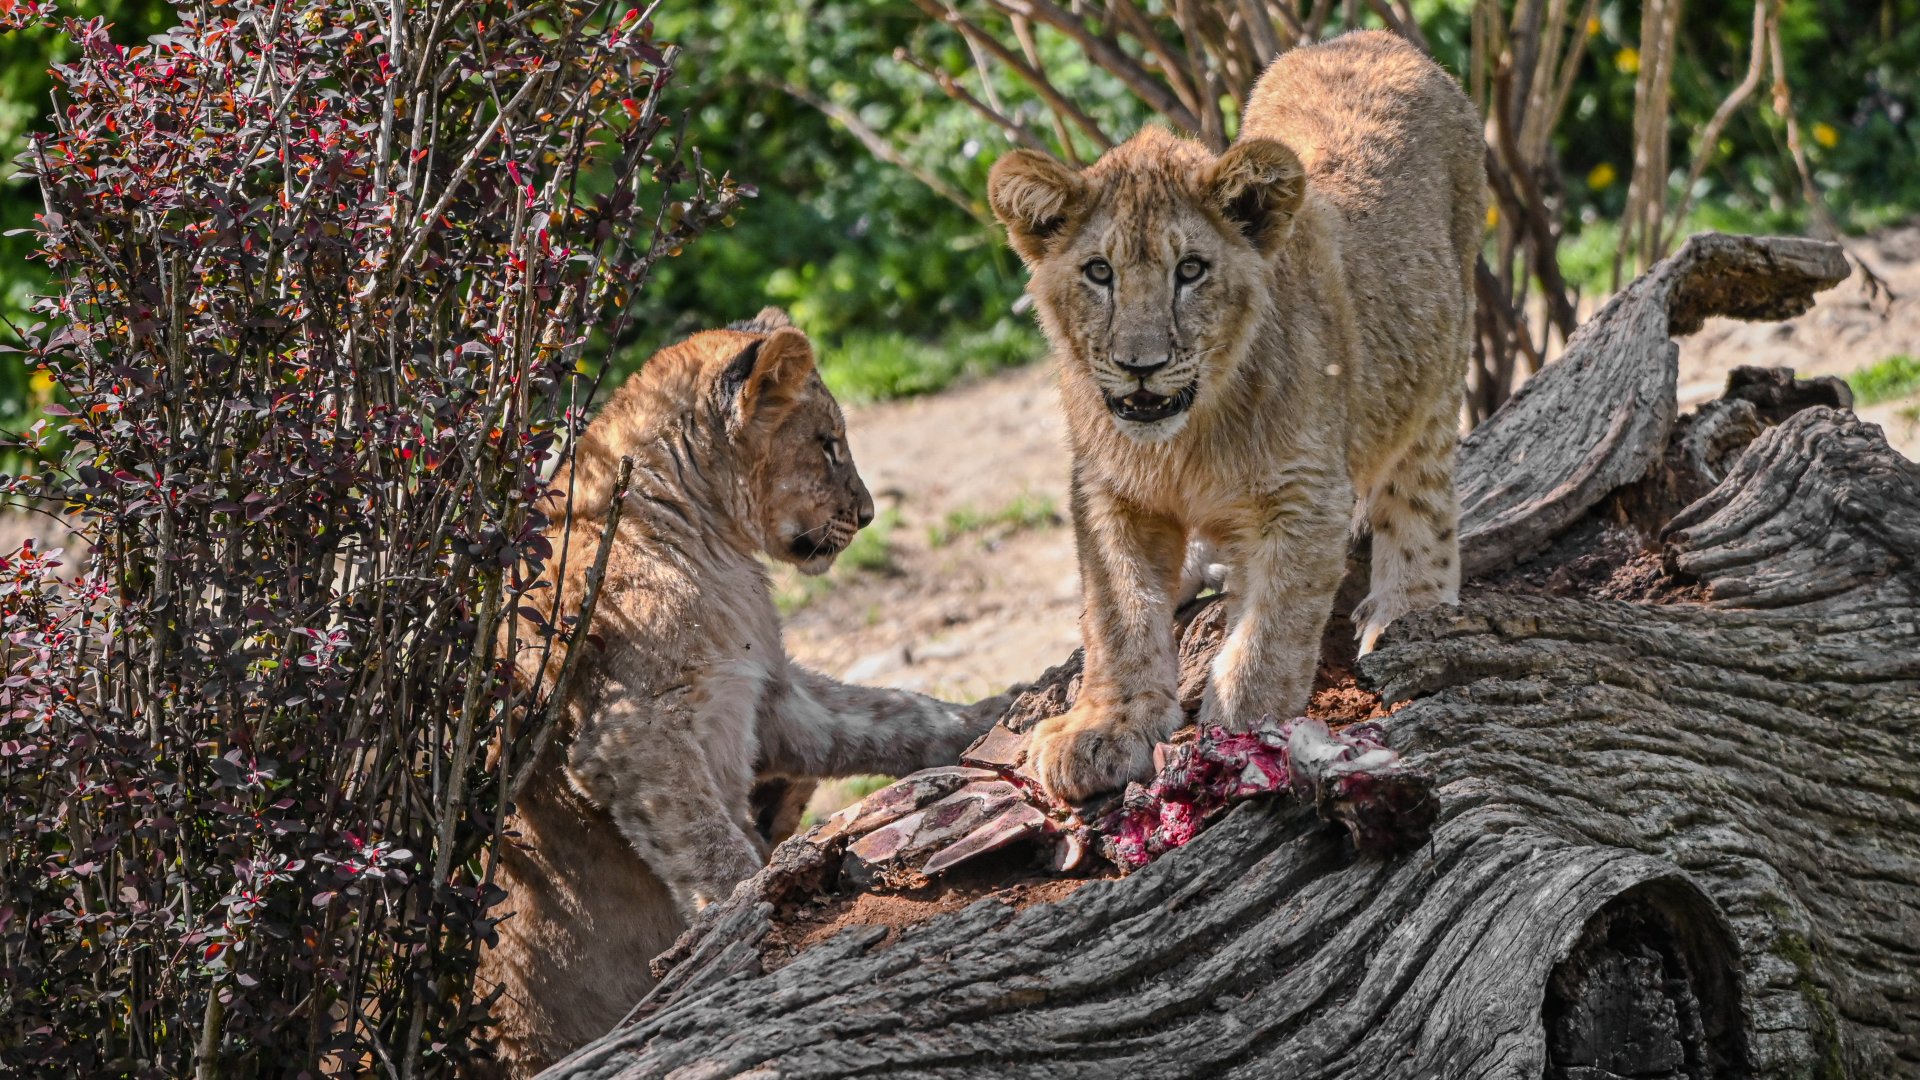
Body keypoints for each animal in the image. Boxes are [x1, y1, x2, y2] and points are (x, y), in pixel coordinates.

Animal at [477, 310, 1008, 1075]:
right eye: (828, 444)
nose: (869, 514)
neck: (711, 544)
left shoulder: (768, 693)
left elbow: (891, 713)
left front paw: (999, 711)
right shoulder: (627, 731)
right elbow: (710, 844)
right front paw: (745, 914)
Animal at [986, 30, 1482, 802]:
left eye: (1190, 270)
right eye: (1099, 272)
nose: (1141, 364)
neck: (1181, 443)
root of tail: (1370, 37)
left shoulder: (1306, 492)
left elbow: (1271, 629)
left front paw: (1244, 730)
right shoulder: (1105, 489)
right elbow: (1118, 612)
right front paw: (1105, 725)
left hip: (1439, 354)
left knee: (1419, 492)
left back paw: (1407, 606)